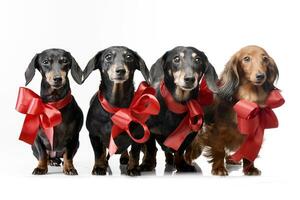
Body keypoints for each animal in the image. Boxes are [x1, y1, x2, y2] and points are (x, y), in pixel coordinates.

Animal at [82, 46, 152, 176]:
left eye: (129, 57)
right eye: (108, 57)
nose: (121, 70)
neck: (116, 107)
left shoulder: (138, 135)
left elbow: (135, 153)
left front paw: (133, 168)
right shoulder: (94, 134)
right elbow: (99, 153)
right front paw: (99, 167)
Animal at [184, 45, 280, 175]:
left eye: (265, 59)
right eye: (246, 58)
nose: (261, 76)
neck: (246, 103)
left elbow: (248, 151)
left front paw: (250, 169)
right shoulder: (216, 131)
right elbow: (219, 150)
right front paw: (219, 168)